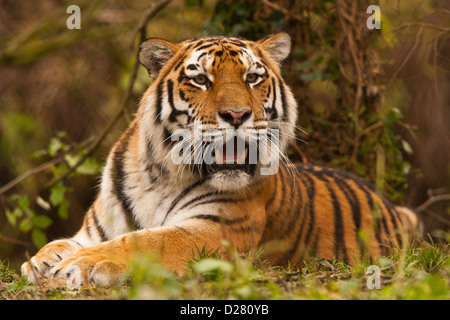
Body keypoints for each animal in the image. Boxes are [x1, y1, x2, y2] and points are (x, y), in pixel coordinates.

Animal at [21, 32, 420, 288]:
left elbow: (146, 241)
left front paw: (83, 263)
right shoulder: (95, 229)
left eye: (253, 77)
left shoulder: (218, 229)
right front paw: (41, 260)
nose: (237, 115)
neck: (160, 175)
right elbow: (64, 242)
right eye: (200, 79)